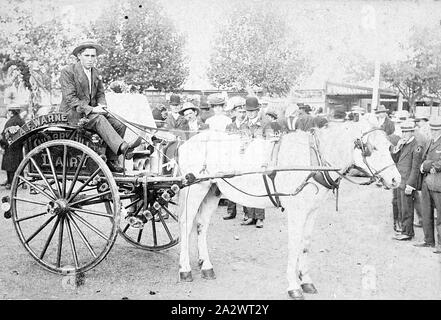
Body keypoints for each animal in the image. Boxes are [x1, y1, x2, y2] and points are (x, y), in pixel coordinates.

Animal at [174, 117, 398, 300]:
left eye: (389, 146)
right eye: (372, 148)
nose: (397, 180)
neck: (313, 161)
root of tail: (187, 142)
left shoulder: (312, 211)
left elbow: (305, 244)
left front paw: (306, 281)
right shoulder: (297, 211)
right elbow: (294, 245)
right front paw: (293, 286)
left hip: (213, 190)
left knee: (201, 226)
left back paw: (206, 266)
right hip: (195, 188)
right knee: (185, 225)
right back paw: (185, 269)